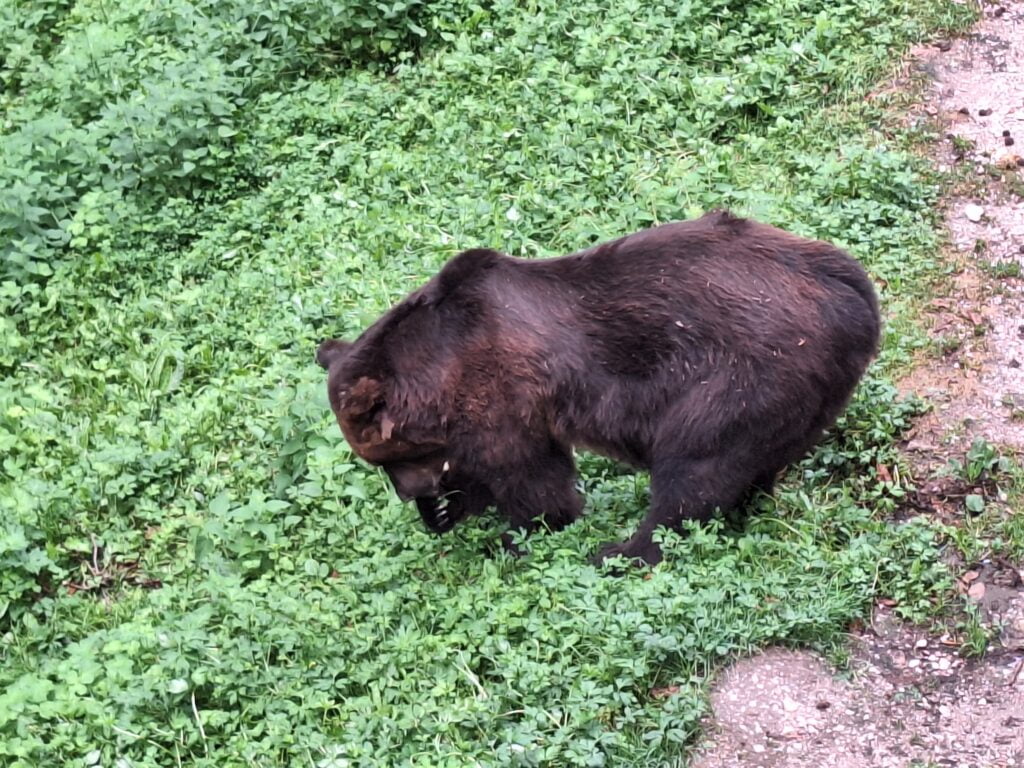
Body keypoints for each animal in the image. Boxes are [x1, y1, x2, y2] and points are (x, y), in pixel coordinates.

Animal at [317, 210, 880, 565]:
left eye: (387, 458)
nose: (413, 494)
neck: (438, 365)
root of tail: (854, 295)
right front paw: (452, 510)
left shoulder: (500, 386)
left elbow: (530, 476)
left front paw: (519, 535)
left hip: (742, 375)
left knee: (695, 467)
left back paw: (622, 551)